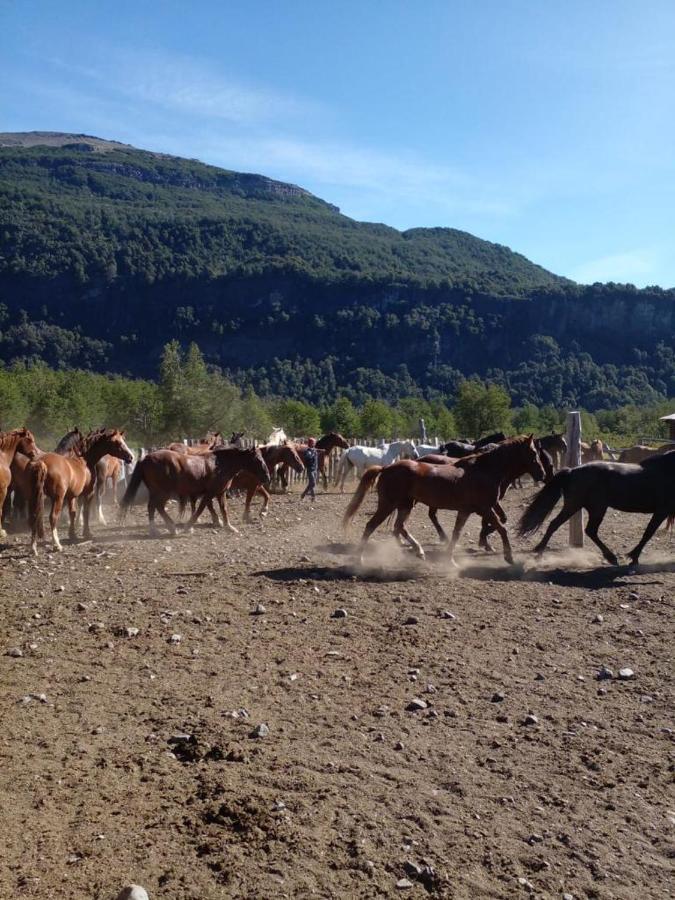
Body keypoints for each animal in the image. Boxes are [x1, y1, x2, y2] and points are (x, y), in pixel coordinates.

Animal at [120, 444, 270, 536]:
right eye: (257, 459)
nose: (267, 477)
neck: (220, 465)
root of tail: (146, 458)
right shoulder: (210, 493)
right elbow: (201, 509)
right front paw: (189, 527)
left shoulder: (220, 493)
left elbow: (224, 509)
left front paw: (229, 527)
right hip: (163, 492)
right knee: (156, 506)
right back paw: (167, 529)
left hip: (157, 492)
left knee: (153, 507)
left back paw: (160, 529)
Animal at [346, 434, 548, 564]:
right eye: (533, 453)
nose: (542, 474)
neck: (485, 470)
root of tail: (386, 468)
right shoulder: (485, 508)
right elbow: (502, 528)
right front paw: (508, 556)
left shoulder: (467, 510)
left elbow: (457, 533)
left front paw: (450, 558)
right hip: (388, 505)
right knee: (371, 526)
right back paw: (359, 558)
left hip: (405, 505)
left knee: (399, 527)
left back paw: (418, 551)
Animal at [520, 448, 675, 568]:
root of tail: (572, 471)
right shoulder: (661, 511)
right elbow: (648, 533)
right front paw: (634, 558)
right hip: (587, 507)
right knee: (578, 528)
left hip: (584, 507)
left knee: (573, 528)